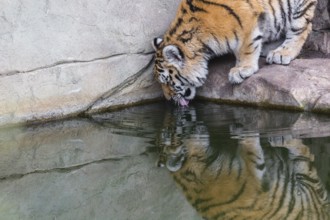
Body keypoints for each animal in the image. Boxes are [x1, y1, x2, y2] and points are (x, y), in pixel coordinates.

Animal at [152, 0, 318, 105]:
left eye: (167, 81)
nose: (168, 99)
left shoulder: (248, 21)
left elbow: (246, 47)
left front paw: (242, 70)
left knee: (301, 28)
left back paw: (282, 53)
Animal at [156, 108, 328, 218]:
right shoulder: (253, 178)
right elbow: (250, 148)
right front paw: (242, 130)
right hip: (307, 185)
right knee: (304, 155)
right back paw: (281, 138)